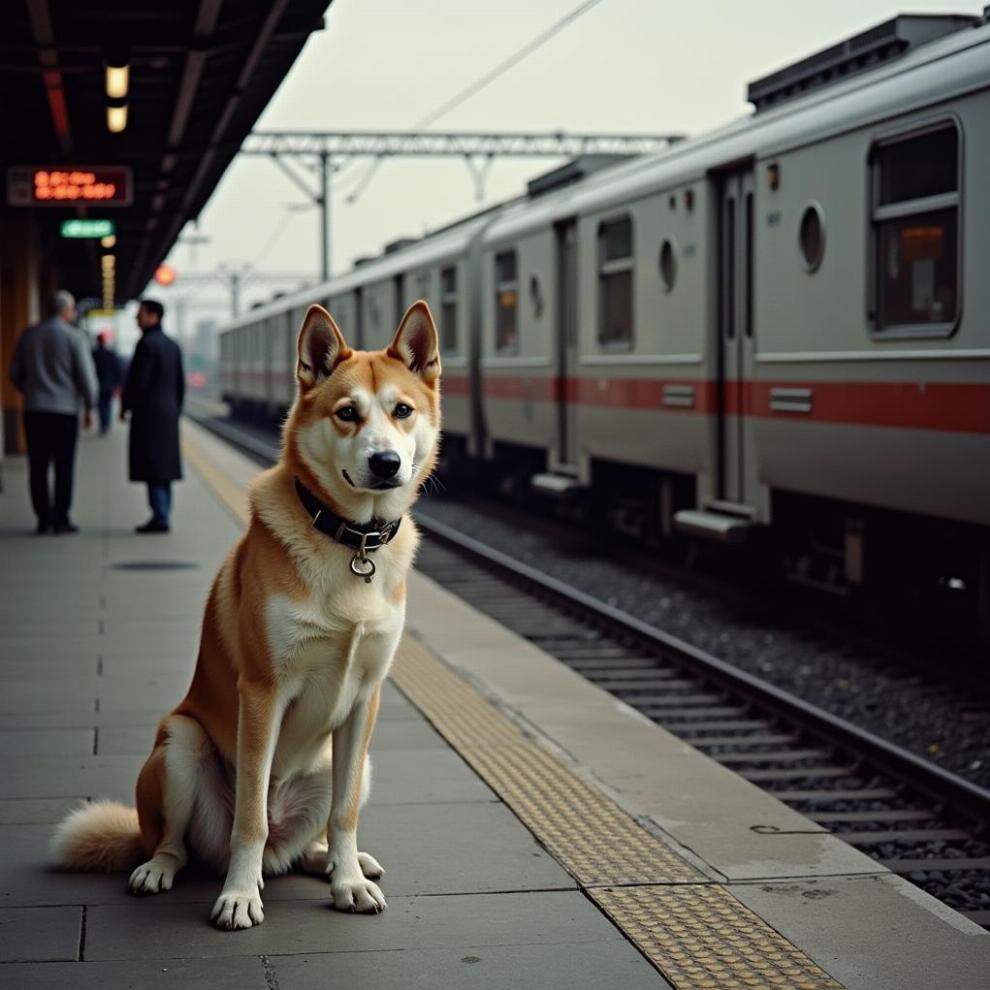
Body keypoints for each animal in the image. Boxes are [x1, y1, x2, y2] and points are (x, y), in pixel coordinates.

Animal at [52, 300, 444, 928]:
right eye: (347, 413)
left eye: (402, 410)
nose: (385, 463)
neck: (349, 540)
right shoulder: (262, 693)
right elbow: (250, 818)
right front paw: (238, 896)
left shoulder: (365, 700)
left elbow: (344, 815)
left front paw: (348, 882)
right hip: (180, 743)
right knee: (181, 841)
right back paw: (163, 870)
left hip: (354, 763)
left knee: (314, 834)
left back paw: (334, 862)